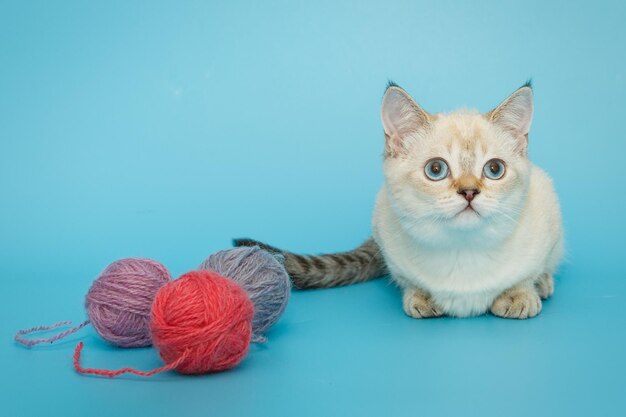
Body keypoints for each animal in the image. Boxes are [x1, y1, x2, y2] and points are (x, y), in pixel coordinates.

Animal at [236, 81, 564, 318]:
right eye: (436, 169)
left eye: (494, 169)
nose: (469, 192)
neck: (463, 252)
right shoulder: (389, 241)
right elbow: (408, 280)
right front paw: (421, 296)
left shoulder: (546, 218)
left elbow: (526, 273)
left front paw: (520, 294)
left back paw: (544, 284)